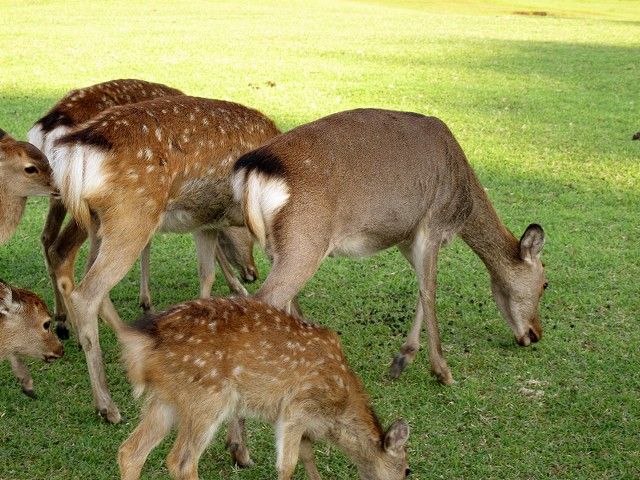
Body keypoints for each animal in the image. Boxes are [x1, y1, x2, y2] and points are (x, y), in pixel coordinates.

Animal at [27, 79, 259, 338]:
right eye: (248, 234)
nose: (252, 273)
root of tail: (47, 129)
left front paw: (146, 301)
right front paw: (237, 290)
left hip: (61, 196)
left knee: (49, 240)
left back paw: (62, 321)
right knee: (65, 252)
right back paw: (77, 330)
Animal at [48, 95, 279, 444]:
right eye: (247, 237)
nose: (252, 272)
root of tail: (74, 149)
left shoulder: (205, 222)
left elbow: (207, 274)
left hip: (99, 222)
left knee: (86, 280)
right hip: (132, 215)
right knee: (86, 294)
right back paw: (107, 406)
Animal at [116, 296, 411, 480]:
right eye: (408, 470)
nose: (408, 471)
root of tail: (144, 341)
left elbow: (307, 456)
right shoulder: (296, 408)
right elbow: (287, 466)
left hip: (165, 400)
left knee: (130, 451)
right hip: (207, 398)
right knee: (181, 461)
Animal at [232, 108, 548, 386]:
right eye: (546, 283)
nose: (535, 334)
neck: (463, 206)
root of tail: (250, 171)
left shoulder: (407, 238)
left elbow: (421, 286)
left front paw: (401, 361)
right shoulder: (433, 225)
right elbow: (430, 290)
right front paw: (442, 371)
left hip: (276, 247)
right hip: (304, 242)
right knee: (262, 301)